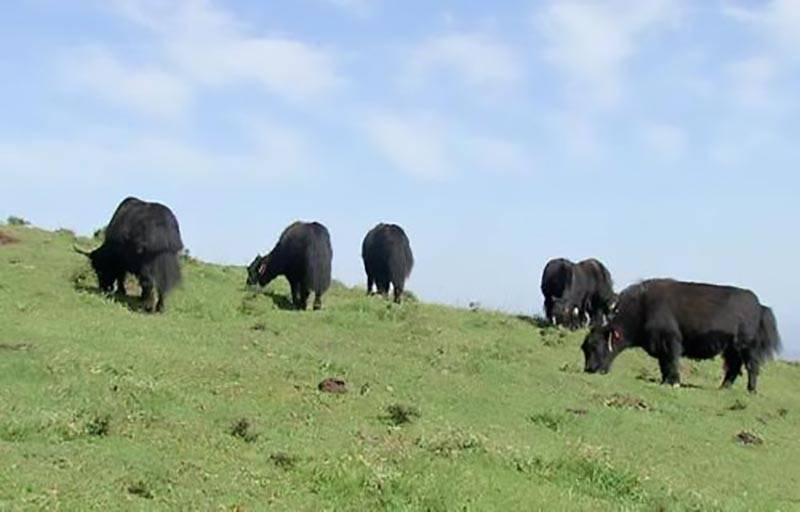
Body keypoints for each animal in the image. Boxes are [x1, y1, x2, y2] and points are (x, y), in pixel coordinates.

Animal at [580, 280, 780, 392]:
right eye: (584, 348)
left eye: (595, 345)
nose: (589, 369)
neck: (642, 308)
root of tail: (759, 306)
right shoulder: (660, 347)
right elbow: (663, 365)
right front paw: (665, 381)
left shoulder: (671, 342)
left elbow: (671, 362)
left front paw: (674, 382)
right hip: (731, 349)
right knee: (733, 367)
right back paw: (723, 388)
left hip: (747, 347)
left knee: (751, 367)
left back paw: (751, 390)